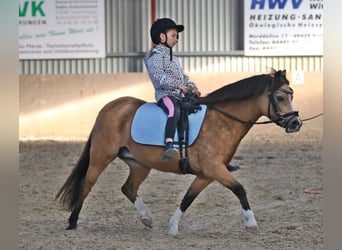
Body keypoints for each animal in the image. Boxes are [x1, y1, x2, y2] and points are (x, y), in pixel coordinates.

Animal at [54, 68, 302, 234]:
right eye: (280, 97)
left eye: (292, 95)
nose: (295, 123)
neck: (222, 121)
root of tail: (110, 106)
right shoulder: (215, 169)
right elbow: (240, 189)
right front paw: (251, 223)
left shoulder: (207, 174)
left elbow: (188, 198)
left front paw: (172, 226)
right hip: (101, 156)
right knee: (87, 184)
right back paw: (72, 222)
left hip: (139, 164)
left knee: (128, 188)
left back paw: (146, 218)